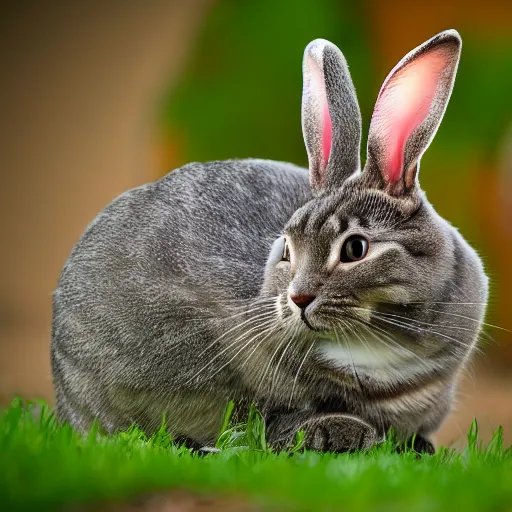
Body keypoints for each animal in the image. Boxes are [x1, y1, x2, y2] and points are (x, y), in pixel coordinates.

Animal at [52, 29, 488, 452]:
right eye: (286, 250)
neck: (379, 350)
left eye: (355, 249)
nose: (298, 299)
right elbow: (262, 420)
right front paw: (341, 432)